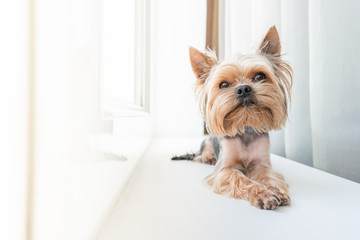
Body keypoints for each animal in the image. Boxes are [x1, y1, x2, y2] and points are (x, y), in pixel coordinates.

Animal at [172, 25, 292, 210]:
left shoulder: (262, 163)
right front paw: (263, 194)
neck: (245, 128)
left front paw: (274, 190)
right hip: (207, 143)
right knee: (201, 155)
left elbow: (267, 175)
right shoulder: (224, 169)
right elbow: (240, 179)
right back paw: (207, 158)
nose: (243, 89)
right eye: (224, 84)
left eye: (259, 76)